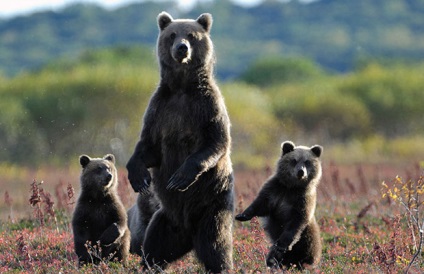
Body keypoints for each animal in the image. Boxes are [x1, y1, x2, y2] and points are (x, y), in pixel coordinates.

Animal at [126, 10, 235, 272]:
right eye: (172, 34)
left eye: (192, 35)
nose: (182, 48)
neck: (183, 87)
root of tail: (188, 236)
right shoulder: (160, 108)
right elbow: (149, 146)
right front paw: (139, 177)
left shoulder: (206, 106)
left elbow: (215, 142)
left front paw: (180, 177)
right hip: (165, 220)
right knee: (155, 247)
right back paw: (149, 264)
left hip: (212, 207)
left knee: (216, 246)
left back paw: (222, 265)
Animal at [235, 141, 322, 270]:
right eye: (294, 160)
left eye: (307, 162)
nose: (300, 171)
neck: (292, 187)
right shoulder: (275, 190)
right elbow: (261, 204)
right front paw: (242, 215)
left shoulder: (303, 200)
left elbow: (296, 222)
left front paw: (282, 245)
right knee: (273, 256)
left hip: (309, 239)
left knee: (306, 252)